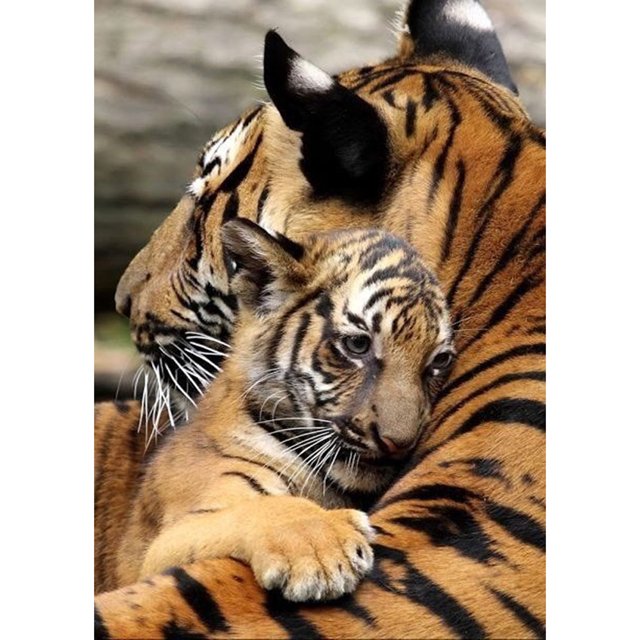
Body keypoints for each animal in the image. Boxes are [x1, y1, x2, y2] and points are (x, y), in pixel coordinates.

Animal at [114, 220, 454, 602]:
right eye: (357, 344)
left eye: (439, 361)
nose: (399, 442)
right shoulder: (163, 546)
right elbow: (262, 508)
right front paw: (322, 550)